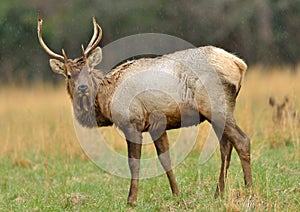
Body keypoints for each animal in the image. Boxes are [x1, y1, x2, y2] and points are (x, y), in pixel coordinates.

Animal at [38, 15, 253, 205]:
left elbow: (134, 162)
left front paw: (131, 200)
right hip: (217, 111)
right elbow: (165, 159)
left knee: (242, 140)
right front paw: (176, 194)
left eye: (89, 71)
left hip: (216, 105)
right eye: (68, 75)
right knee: (226, 146)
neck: (107, 98)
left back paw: (249, 189)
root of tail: (239, 64)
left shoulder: (132, 122)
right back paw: (218, 193)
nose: (82, 88)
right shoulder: (157, 125)